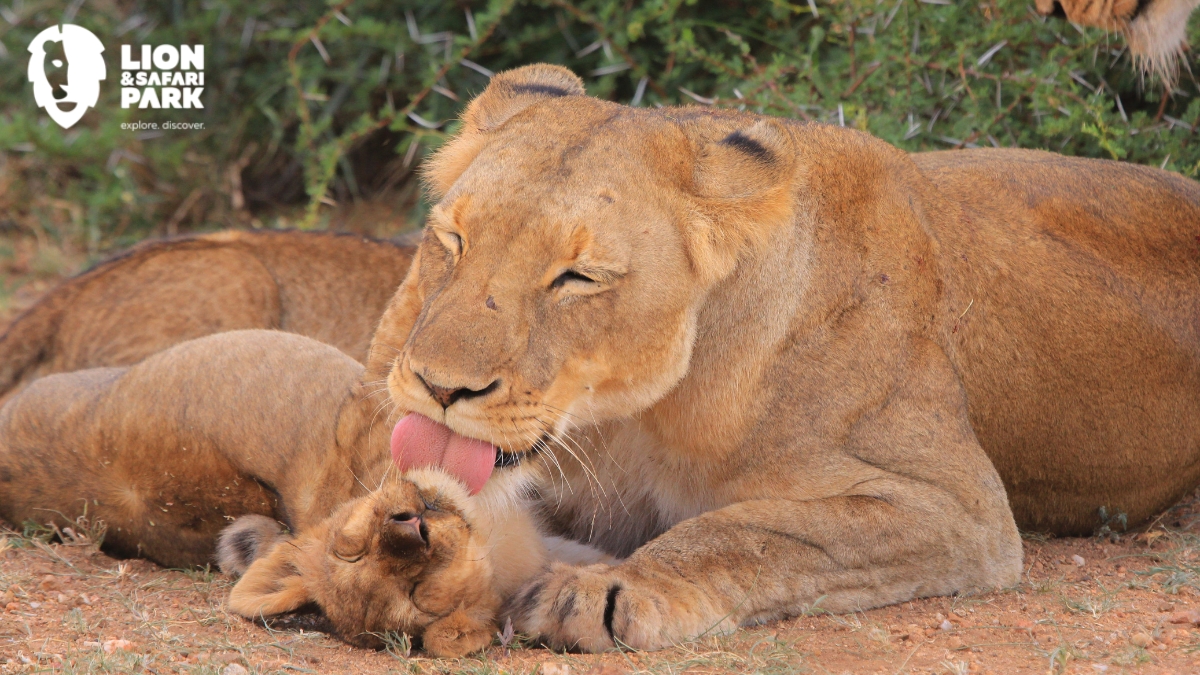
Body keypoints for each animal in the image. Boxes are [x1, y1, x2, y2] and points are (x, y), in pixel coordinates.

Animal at [359, 64, 1200, 652]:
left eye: (579, 277)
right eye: (453, 238)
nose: (438, 385)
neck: (634, 413)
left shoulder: (960, 507)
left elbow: (754, 529)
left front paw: (609, 588)